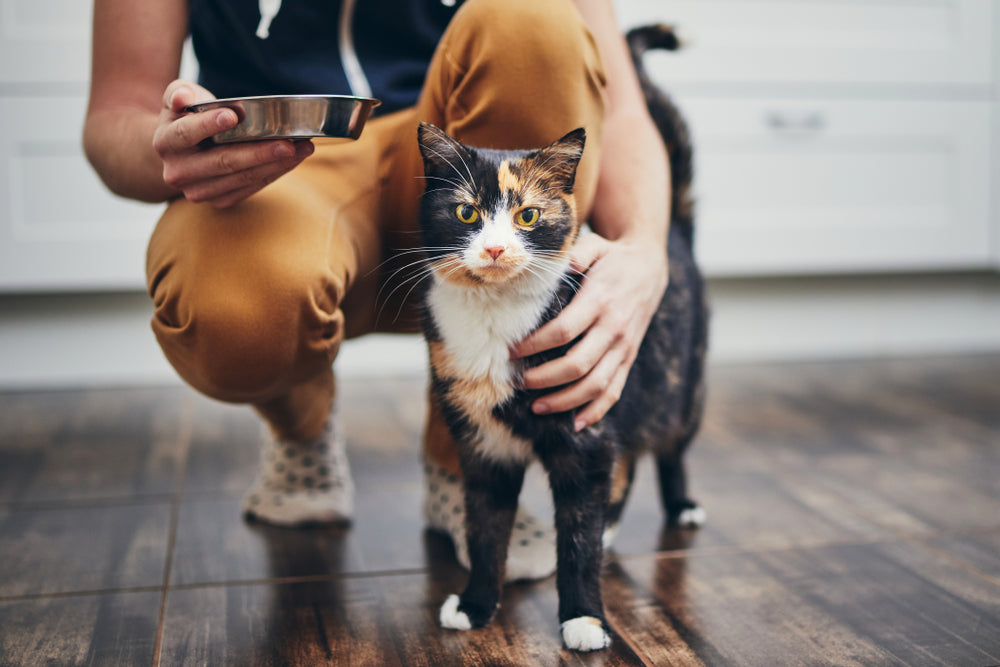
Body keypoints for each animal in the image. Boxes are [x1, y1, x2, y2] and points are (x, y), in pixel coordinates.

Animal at [412, 26, 704, 652]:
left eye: (527, 215)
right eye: (467, 213)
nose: (496, 248)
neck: (494, 317)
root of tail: (672, 232)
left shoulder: (584, 434)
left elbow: (576, 537)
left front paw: (585, 619)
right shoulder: (483, 446)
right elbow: (484, 529)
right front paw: (475, 605)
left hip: (679, 385)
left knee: (669, 447)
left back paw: (681, 504)